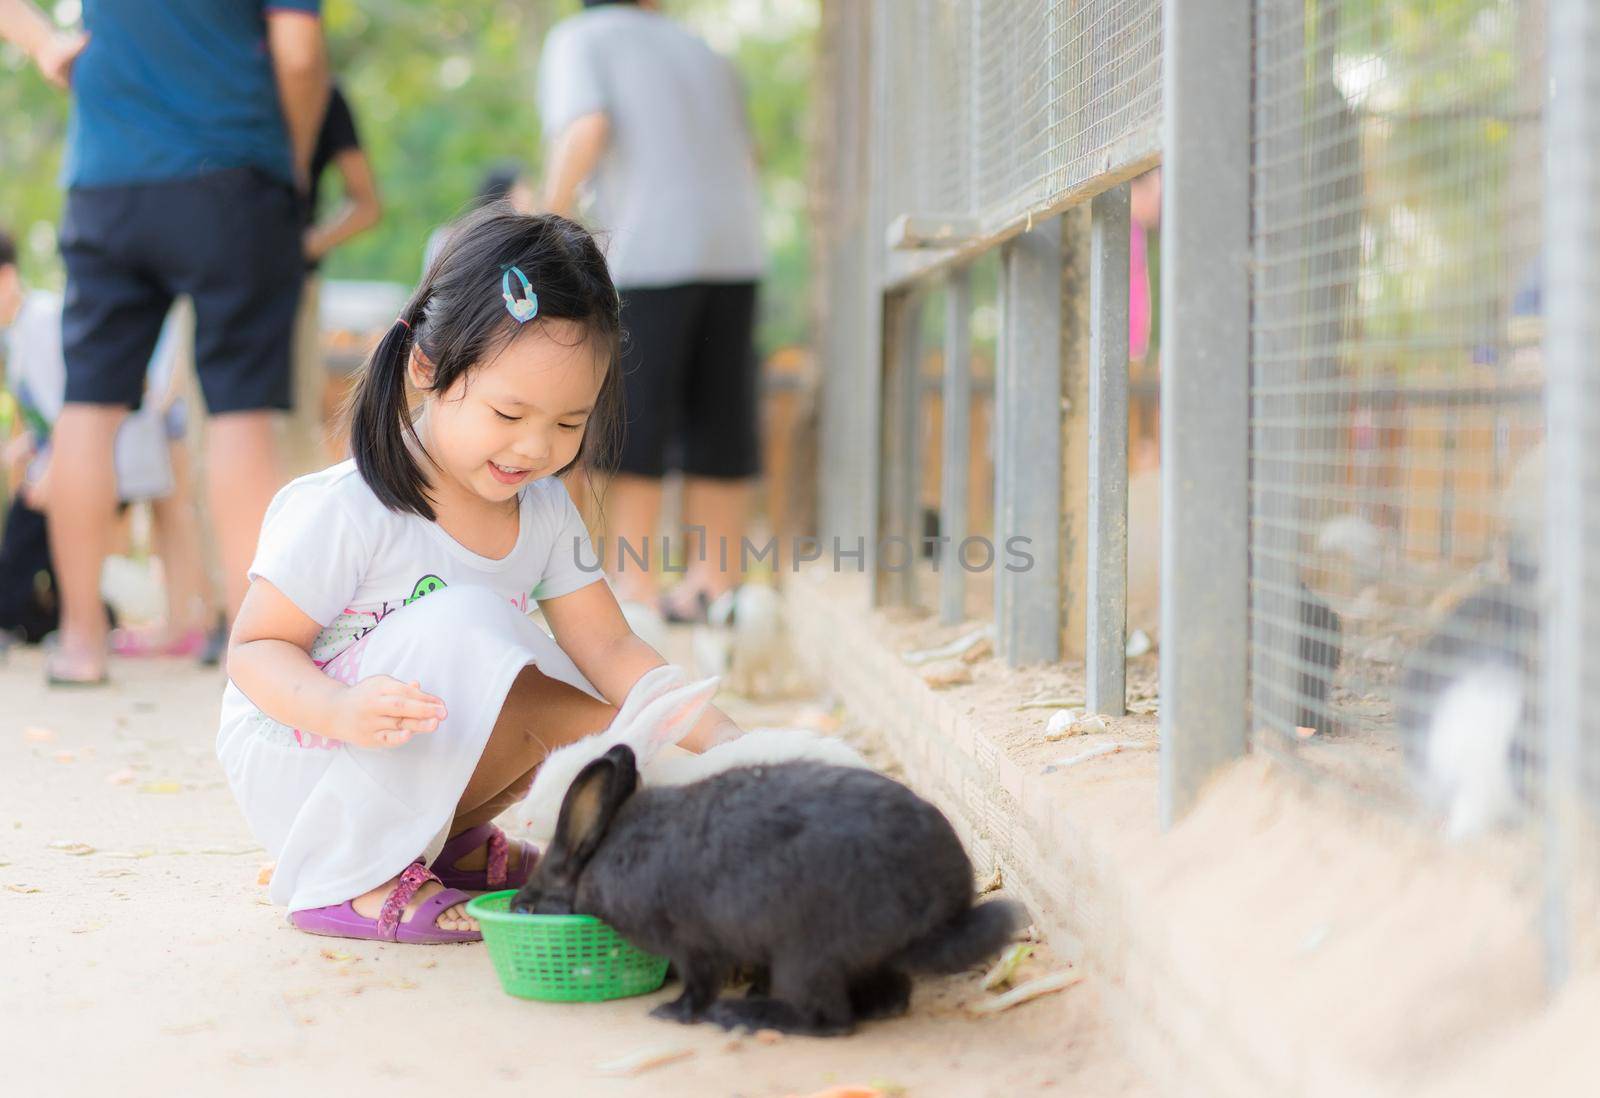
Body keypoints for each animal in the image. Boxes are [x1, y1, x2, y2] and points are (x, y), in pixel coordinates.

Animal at [512, 742, 1024, 1037]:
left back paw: (743, 1017)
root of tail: (943, 912)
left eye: (525, 909)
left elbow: (699, 984)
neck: (594, 860)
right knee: (888, 996)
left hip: (805, 955)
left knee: (830, 1021)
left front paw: (673, 1014)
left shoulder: (692, 944)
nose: (516, 909)